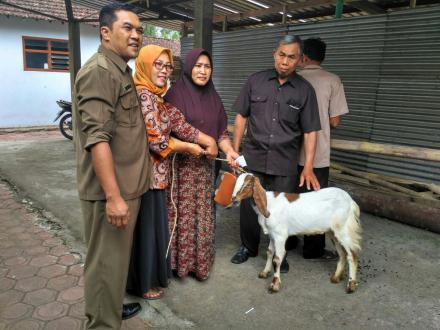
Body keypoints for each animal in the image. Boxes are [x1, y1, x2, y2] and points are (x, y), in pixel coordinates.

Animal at [232, 173, 362, 294]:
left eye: (248, 185)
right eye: (236, 182)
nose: (234, 200)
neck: (268, 204)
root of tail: (350, 201)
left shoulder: (280, 235)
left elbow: (277, 259)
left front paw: (275, 285)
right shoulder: (272, 235)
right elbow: (269, 252)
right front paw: (264, 272)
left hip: (343, 229)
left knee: (352, 254)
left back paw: (351, 286)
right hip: (333, 232)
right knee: (342, 254)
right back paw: (336, 277)